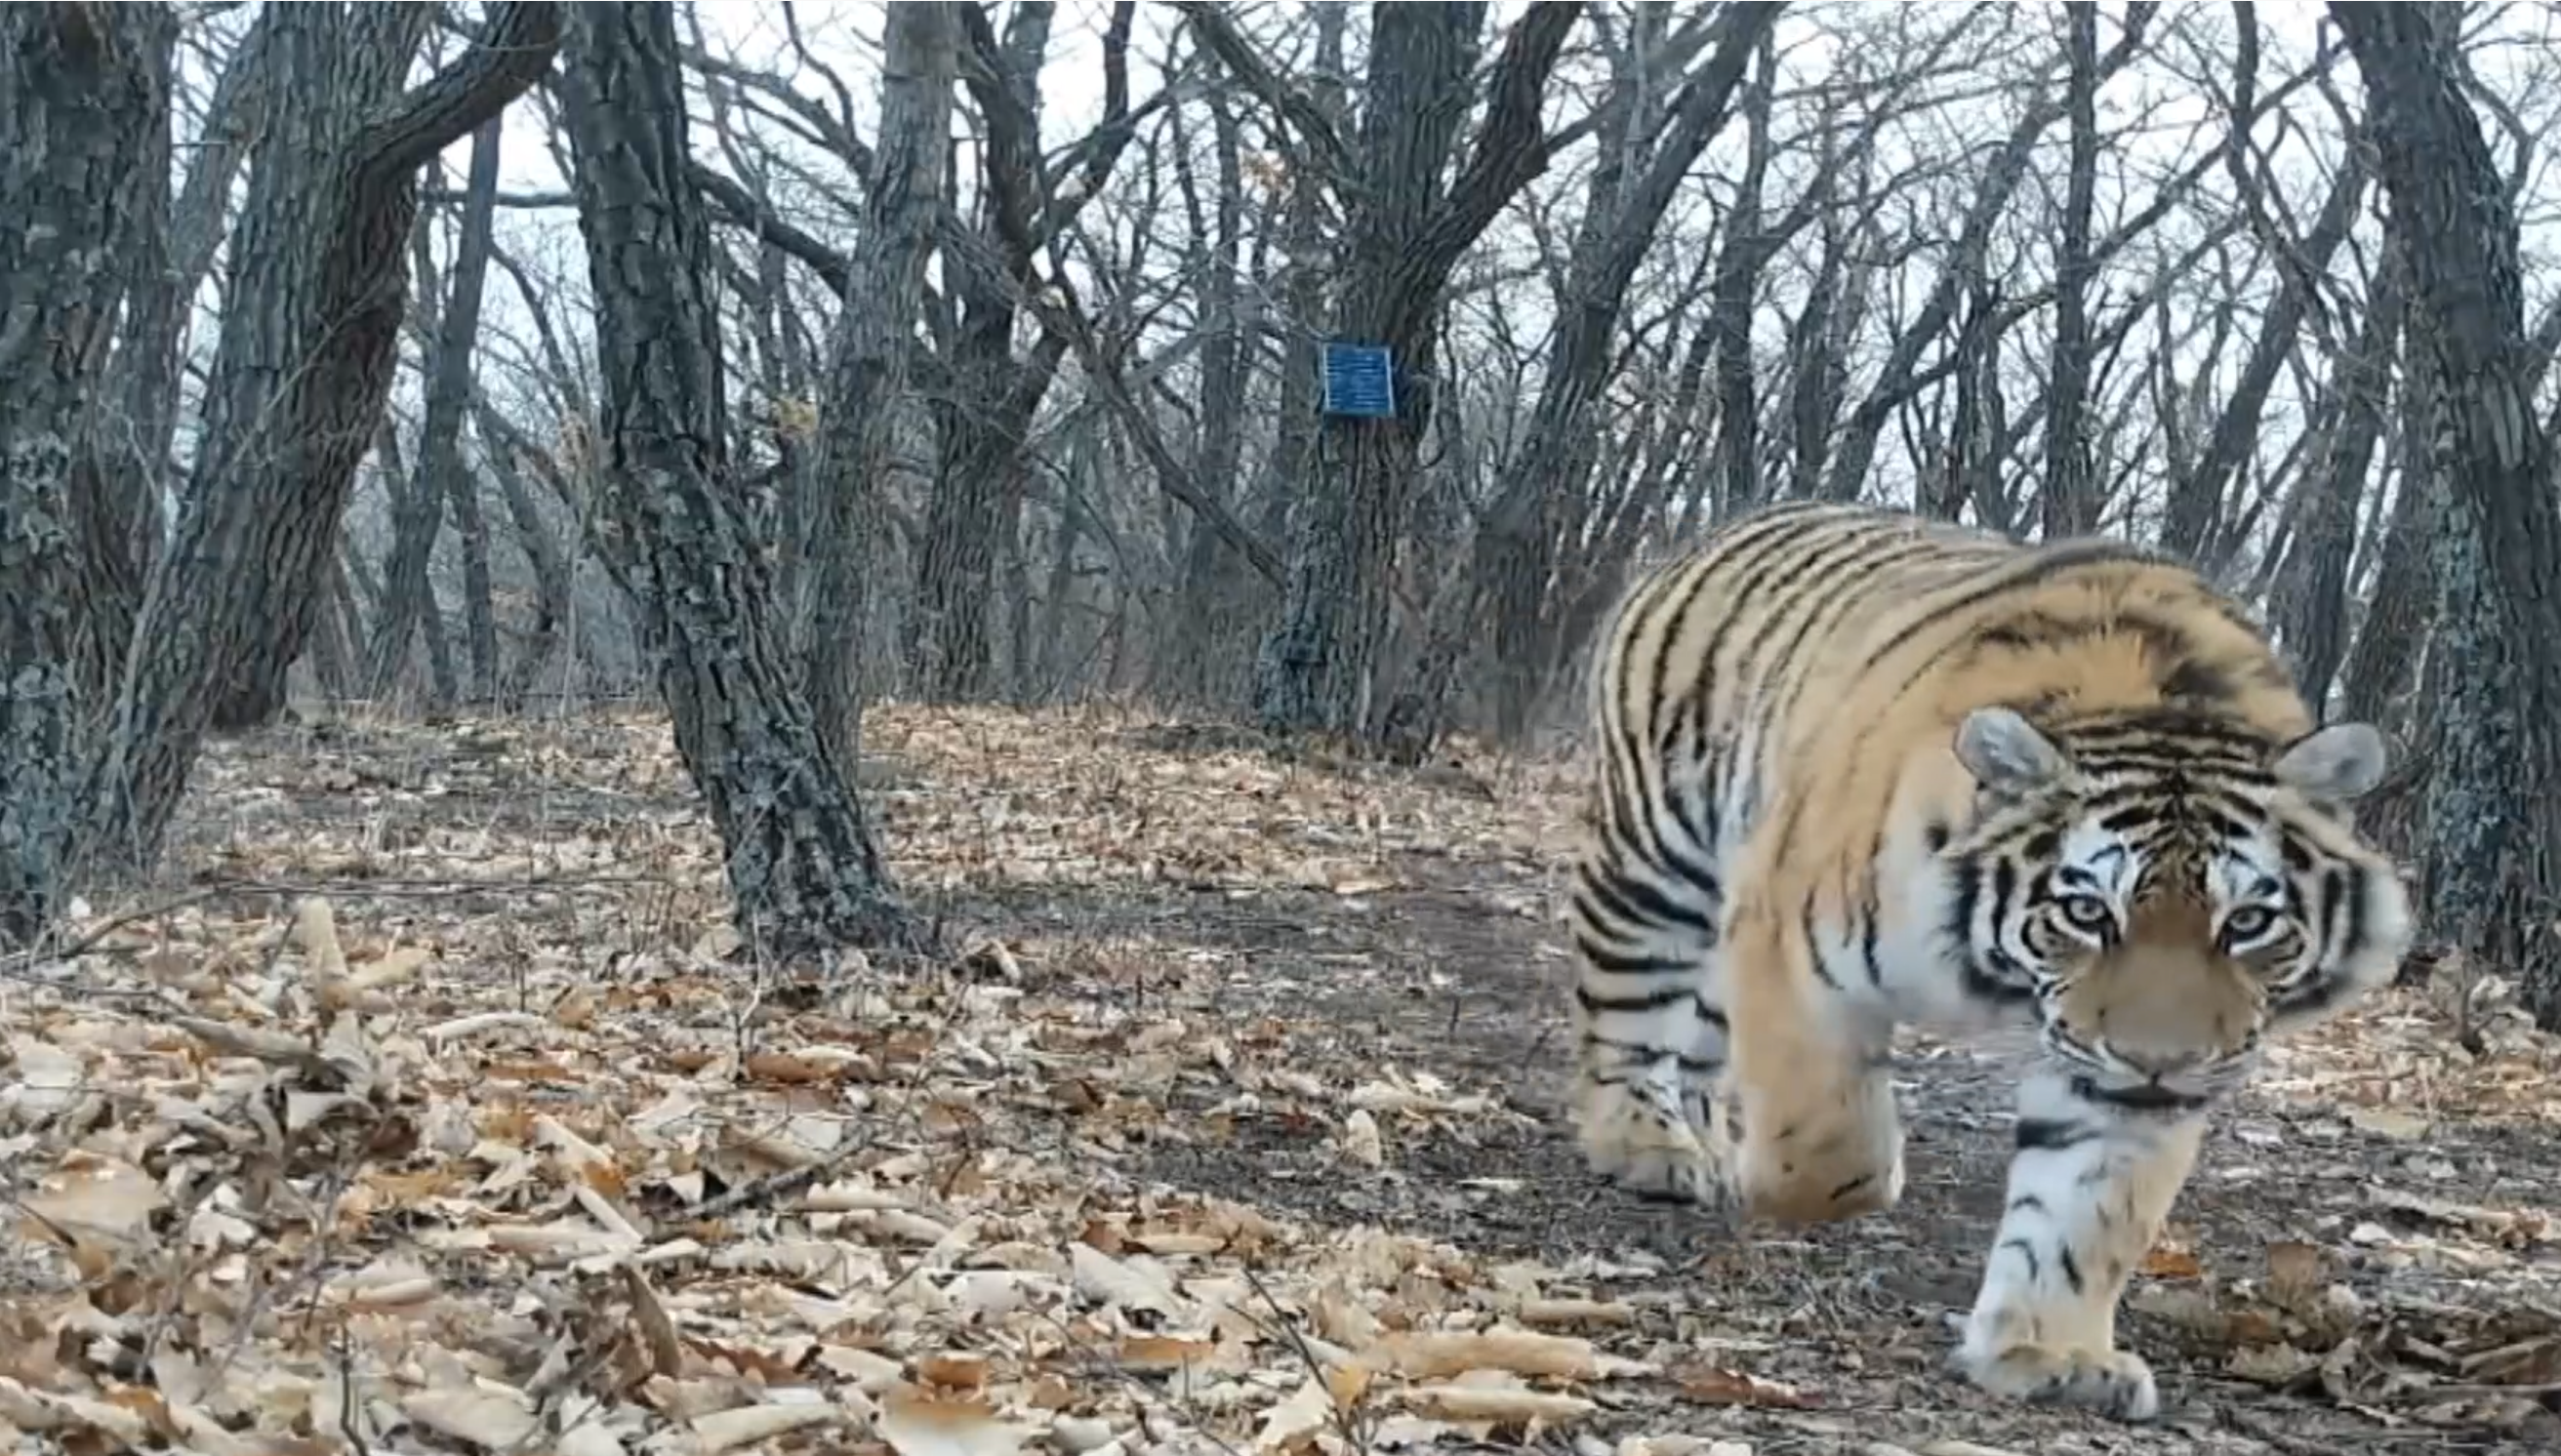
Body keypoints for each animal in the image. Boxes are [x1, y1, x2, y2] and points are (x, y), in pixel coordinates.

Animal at [1564, 500, 2413, 1422]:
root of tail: (1731, 524)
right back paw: (1651, 1146)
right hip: (1659, 861)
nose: (2160, 1062)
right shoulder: (1790, 943)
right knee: (1629, 1012)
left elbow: (2088, 1216)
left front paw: (2052, 1354)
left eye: (2248, 922)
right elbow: (1834, 1151)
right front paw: (1777, 1179)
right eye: (2087, 911)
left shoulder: (2114, 1087)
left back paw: (1703, 1134)